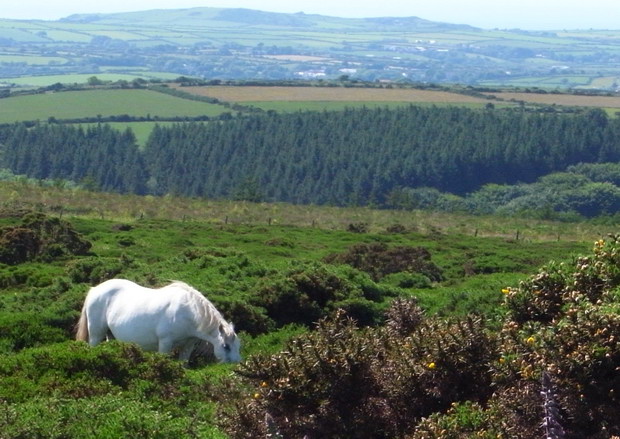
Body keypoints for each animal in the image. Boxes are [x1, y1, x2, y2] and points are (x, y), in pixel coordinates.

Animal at [76, 280, 241, 362]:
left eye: (238, 346)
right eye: (226, 346)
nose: (236, 365)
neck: (188, 312)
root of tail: (95, 289)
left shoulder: (188, 345)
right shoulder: (165, 343)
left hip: (111, 334)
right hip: (96, 334)